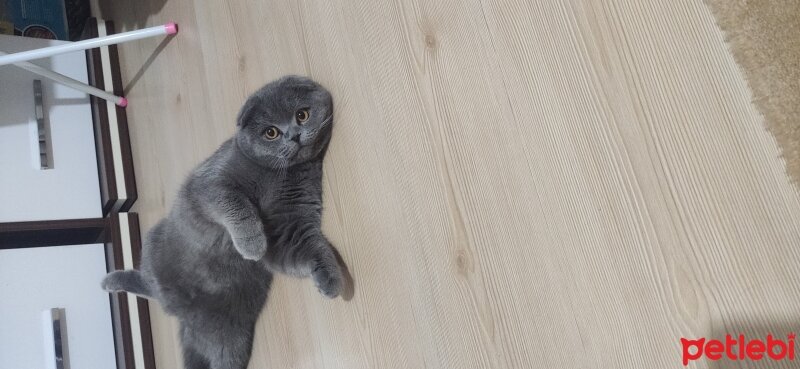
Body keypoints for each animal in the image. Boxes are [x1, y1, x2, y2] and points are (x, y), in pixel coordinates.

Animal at [102, 75, 344, 368]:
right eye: (271, 132)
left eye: (302, 115)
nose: (294, 135)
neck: (279, 174)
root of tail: (183, 313)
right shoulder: (212, 183)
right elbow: (236, 204)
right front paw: (252, 243)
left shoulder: (290, 222)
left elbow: (308, 246)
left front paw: (329, 279)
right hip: (153, 242)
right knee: (147, 283)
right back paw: (111, 281)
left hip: (230, 337)